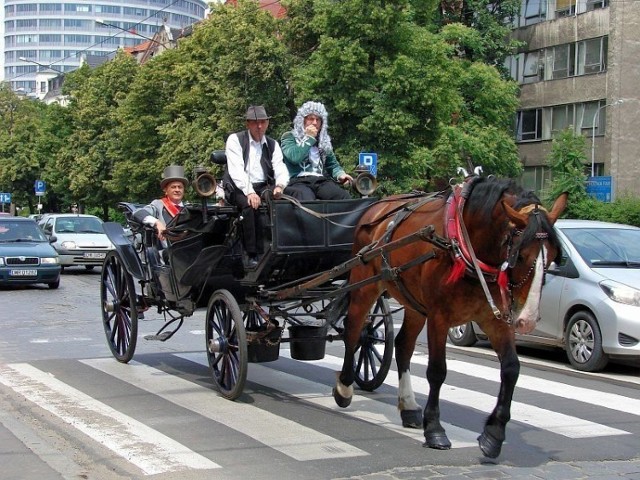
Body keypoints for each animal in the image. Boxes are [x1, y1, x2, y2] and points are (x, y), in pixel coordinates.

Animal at [332, 175, 568, 458]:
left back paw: (408, 406)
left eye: (552, 258)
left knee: (403, 346)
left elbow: (511, 369)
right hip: (365, 286)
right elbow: (437, 371)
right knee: (353, 331)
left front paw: (494, 434)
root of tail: (377, 207)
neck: (469, 247)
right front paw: (434, 430)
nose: (528, 319)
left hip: (413, 303)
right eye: (520, 256)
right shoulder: (439, 317)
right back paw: (344, 387)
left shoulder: (496, 319)